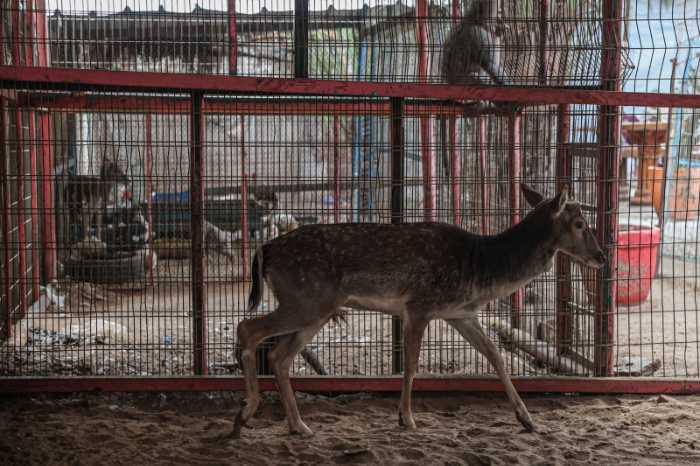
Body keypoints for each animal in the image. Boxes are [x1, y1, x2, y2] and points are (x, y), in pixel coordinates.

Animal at [232, 184, 606, 438]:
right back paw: (247, 411)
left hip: (316, 309)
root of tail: (264, 249)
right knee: (247, 328)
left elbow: (495, 356)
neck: (483, 269)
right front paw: (407, 418)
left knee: (279, 355)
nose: (602, 256)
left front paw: (527, 419)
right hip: (307, 299)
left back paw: (297, 425)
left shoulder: (460, 314)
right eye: (579, 223)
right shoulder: (419, 305)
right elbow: (411, 365)